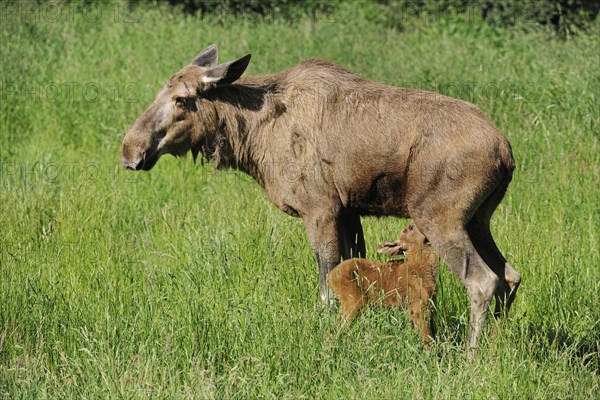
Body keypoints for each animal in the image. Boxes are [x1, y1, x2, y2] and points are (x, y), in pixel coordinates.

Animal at [122, 45, 520, 348]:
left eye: (182, 99)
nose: (130, 150)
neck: (250, 138)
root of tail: (506, 151)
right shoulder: (348, 211)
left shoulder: (319, 209)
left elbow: (327, 285)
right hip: (478, 220)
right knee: (510, 276)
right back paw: (497, 346)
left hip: (439, 217)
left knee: (483, 281)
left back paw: (470, 355)